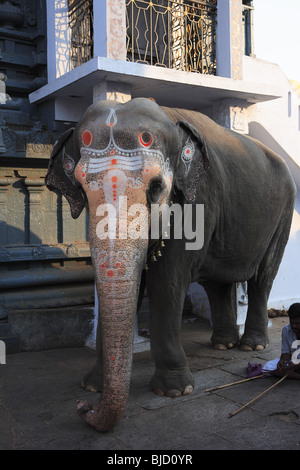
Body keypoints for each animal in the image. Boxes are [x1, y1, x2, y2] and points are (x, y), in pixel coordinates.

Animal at [45, 97, 296, 432]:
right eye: (82, 190)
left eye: (155, 188)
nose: (83, 408)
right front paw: (92, 385)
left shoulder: (195, 201)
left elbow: (167, 283)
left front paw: (175, 391)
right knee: (218, 283)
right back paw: (223, 345)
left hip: (283, 213)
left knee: (263, 276)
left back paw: (250, 347)